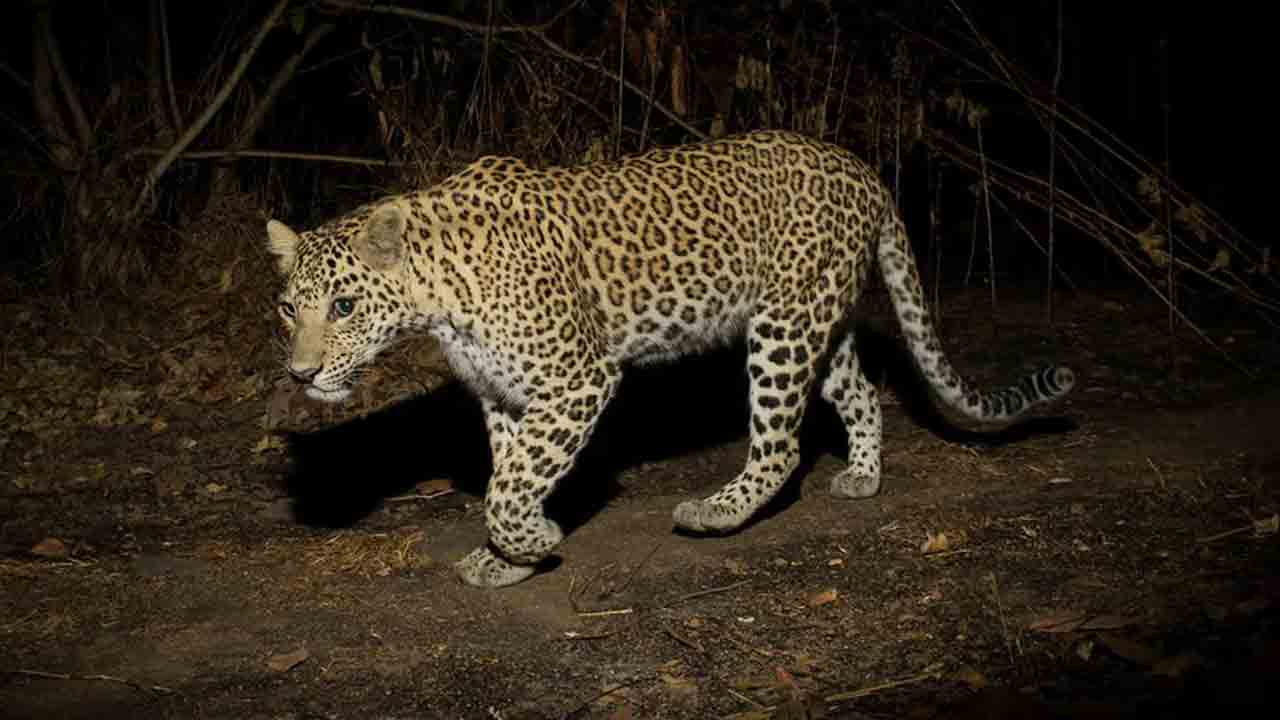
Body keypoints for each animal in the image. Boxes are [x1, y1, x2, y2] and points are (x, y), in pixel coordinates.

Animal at [265, 130, 1075, 588]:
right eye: (288, 308)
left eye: (345, 306)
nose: (302, 374)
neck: (438, 291)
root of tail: (862, 168)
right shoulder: (504, 394)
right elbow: (508, 475)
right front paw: (511, 560)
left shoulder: (577, 379)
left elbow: (509, 486)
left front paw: (534, 542)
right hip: (821, 315)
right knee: (861, 392)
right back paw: (864, 478)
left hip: (780, 327)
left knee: (781, 444)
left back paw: (718, 512)